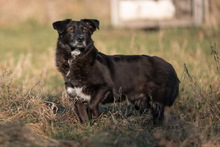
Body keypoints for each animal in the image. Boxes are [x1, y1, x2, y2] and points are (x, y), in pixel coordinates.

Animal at [52, 19, 180, 123]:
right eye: (71, 30)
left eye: (85, 30)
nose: (80, 39)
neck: (77, 60)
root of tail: (171, 66)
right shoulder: (78, 100)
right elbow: (84, 118)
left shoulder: (104, 87)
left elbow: (92, 104)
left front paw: (97, 117)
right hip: (141, 103)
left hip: (159, 102)